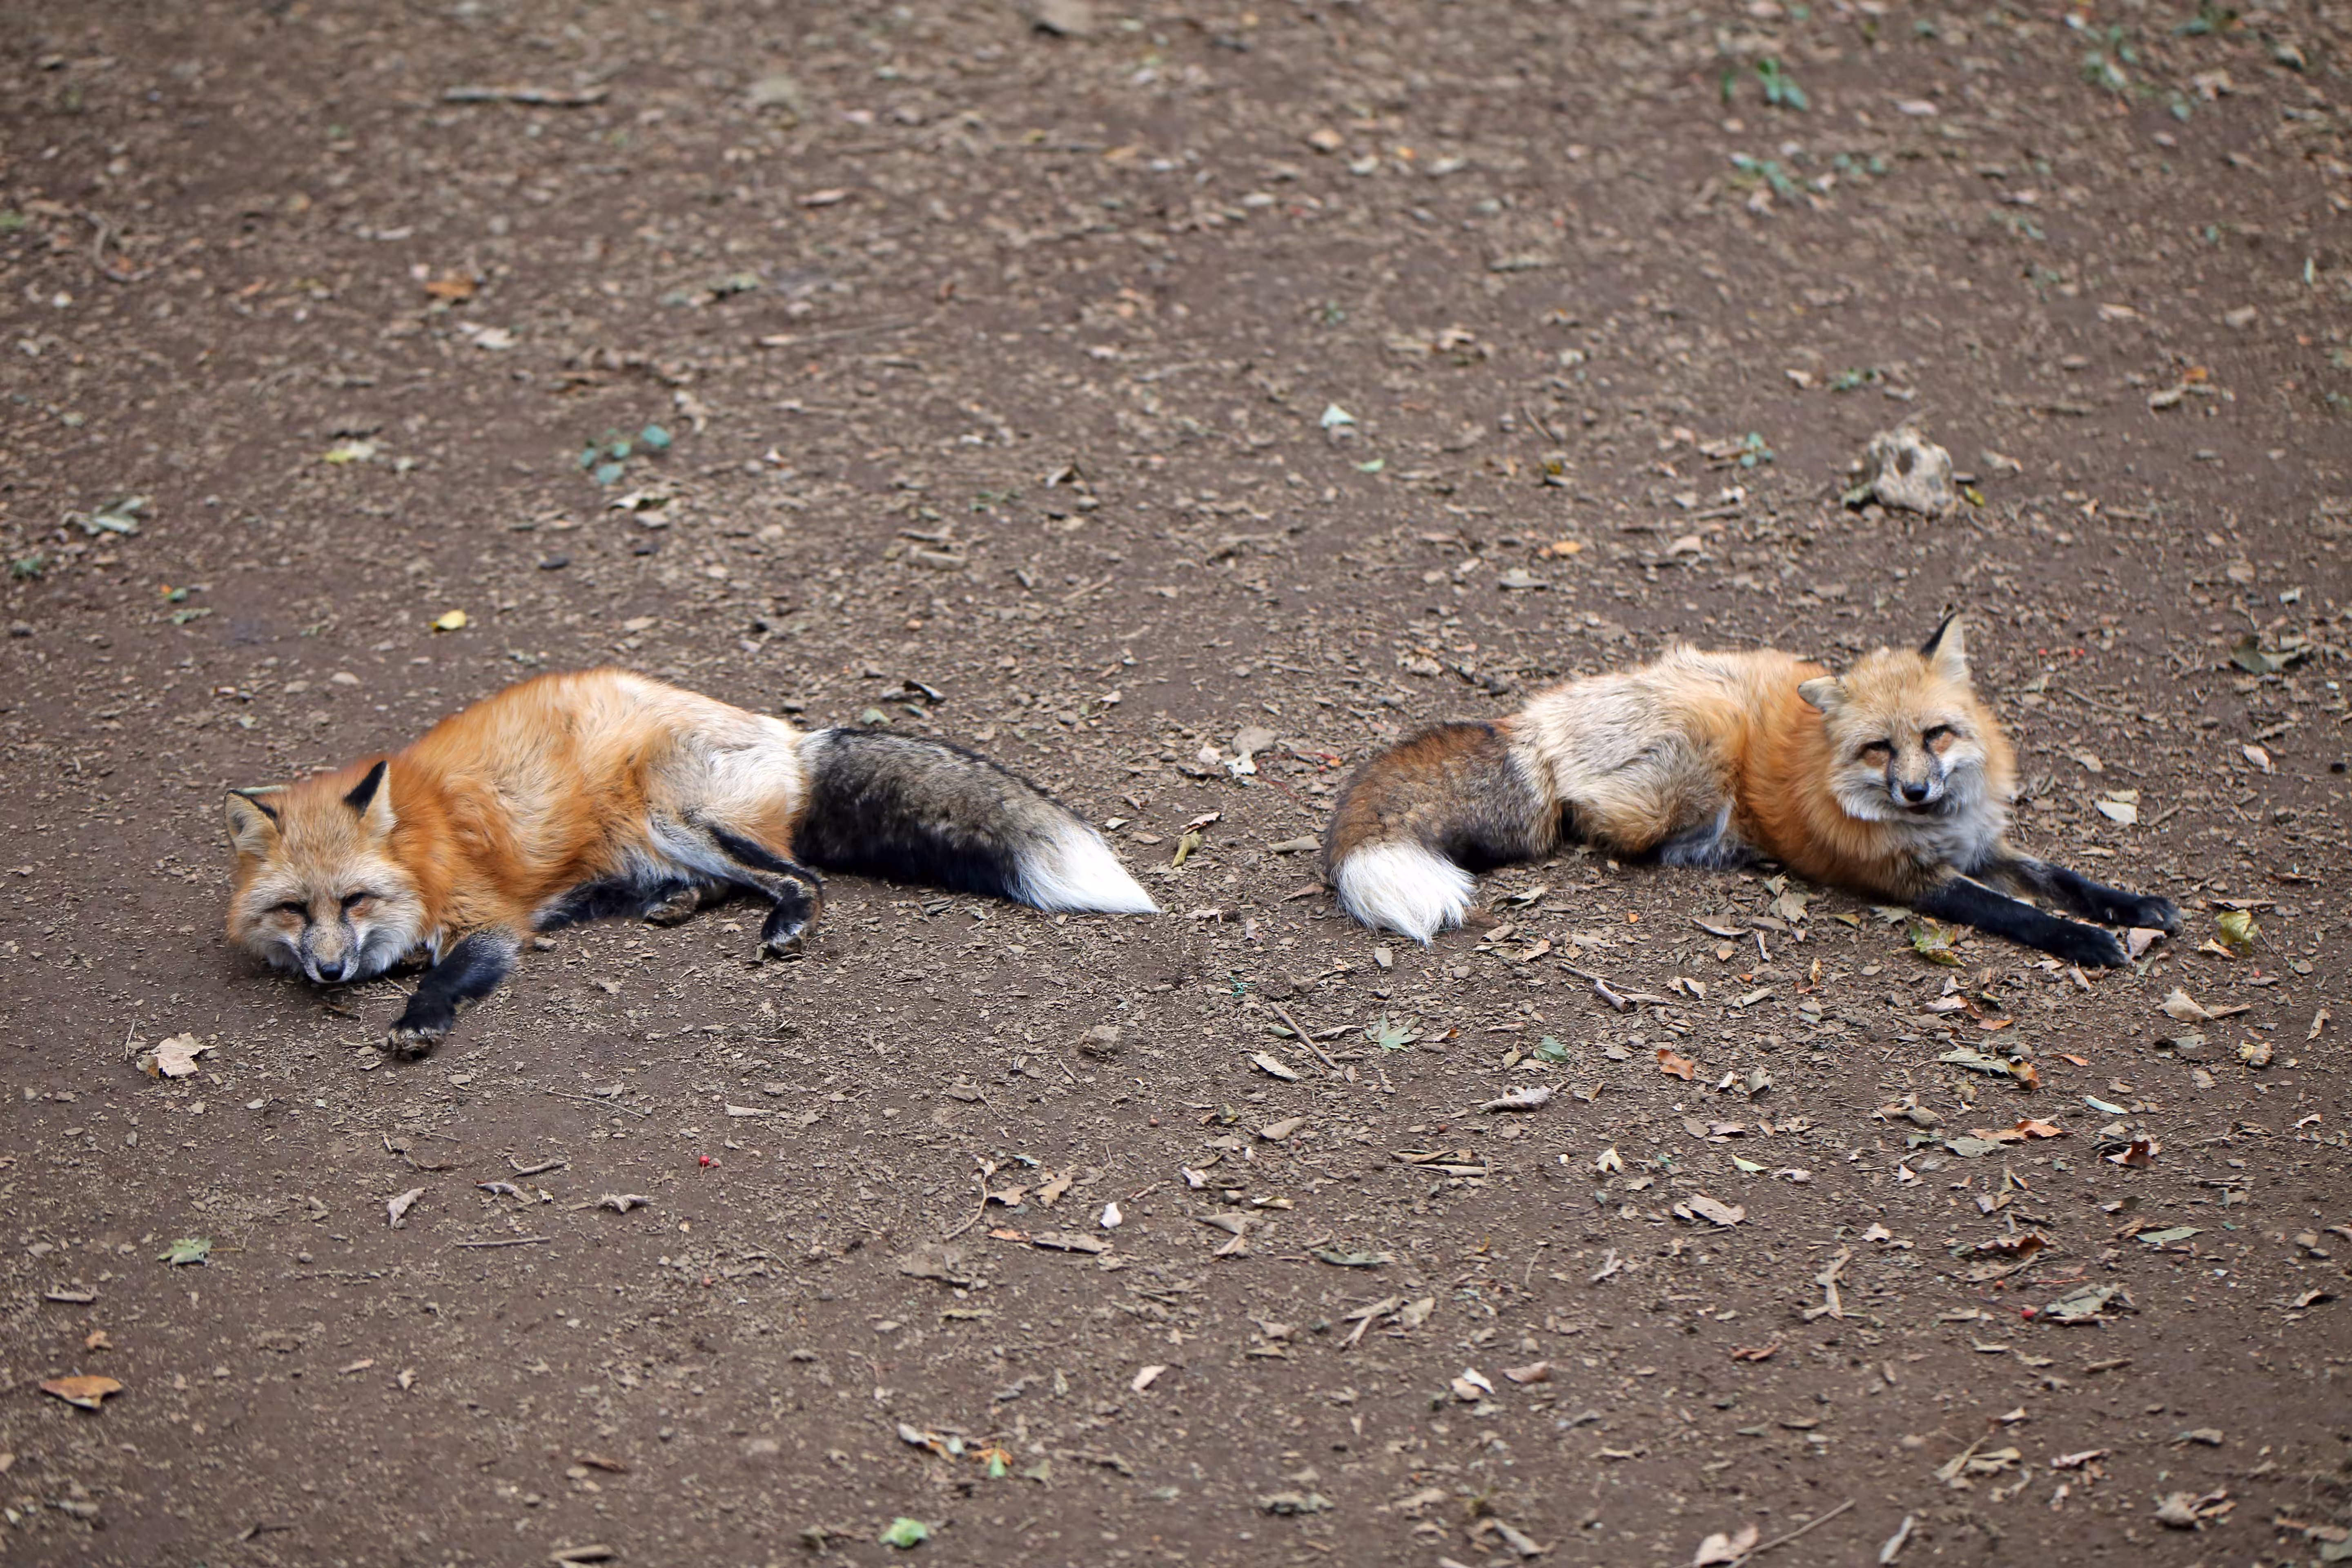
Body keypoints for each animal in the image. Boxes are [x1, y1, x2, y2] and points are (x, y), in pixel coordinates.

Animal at [222, 668, 1157, 1056]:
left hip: (672, 814)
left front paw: (418, 1021)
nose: (330, 972)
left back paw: (782, 922)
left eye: (355, 899)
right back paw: (674, 903)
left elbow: (445, 978)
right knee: (725, 882)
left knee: (800, 876)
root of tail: (787, 736)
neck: (421, 848)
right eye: (296, 910)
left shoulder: (488, 922)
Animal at [1323, 616, 2178, 968]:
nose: (1914, 792)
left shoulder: (1980, 842)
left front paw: (2133, 907)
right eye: (1879, 748)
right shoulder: (1905, 879)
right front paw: (2087, 943)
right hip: (1700, 750)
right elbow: (2017, 912)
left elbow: (2061, 879)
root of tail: (1533, 719)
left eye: (1937, 736)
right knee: (1603, 829)